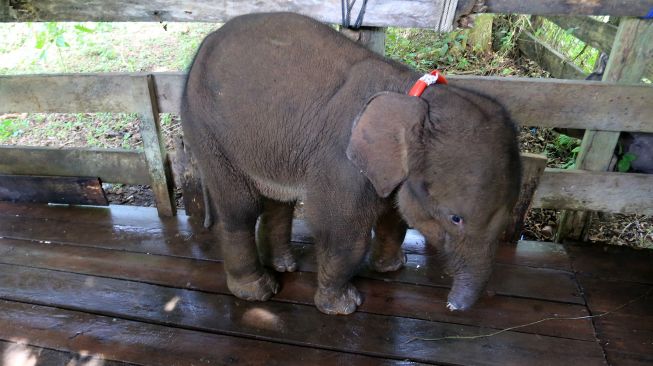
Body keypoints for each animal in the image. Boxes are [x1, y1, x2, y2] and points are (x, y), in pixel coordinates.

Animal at [180, 12, 520, 314]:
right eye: (455, 218)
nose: (451, 306)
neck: (413, 96)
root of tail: (207, 40)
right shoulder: (341, 163)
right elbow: (341, 231)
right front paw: (344, 307)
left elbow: (395, 217)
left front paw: (390, 268)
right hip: (206, 129)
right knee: (240, 208)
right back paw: (257, 291)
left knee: (280, 201)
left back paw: (285, 266)